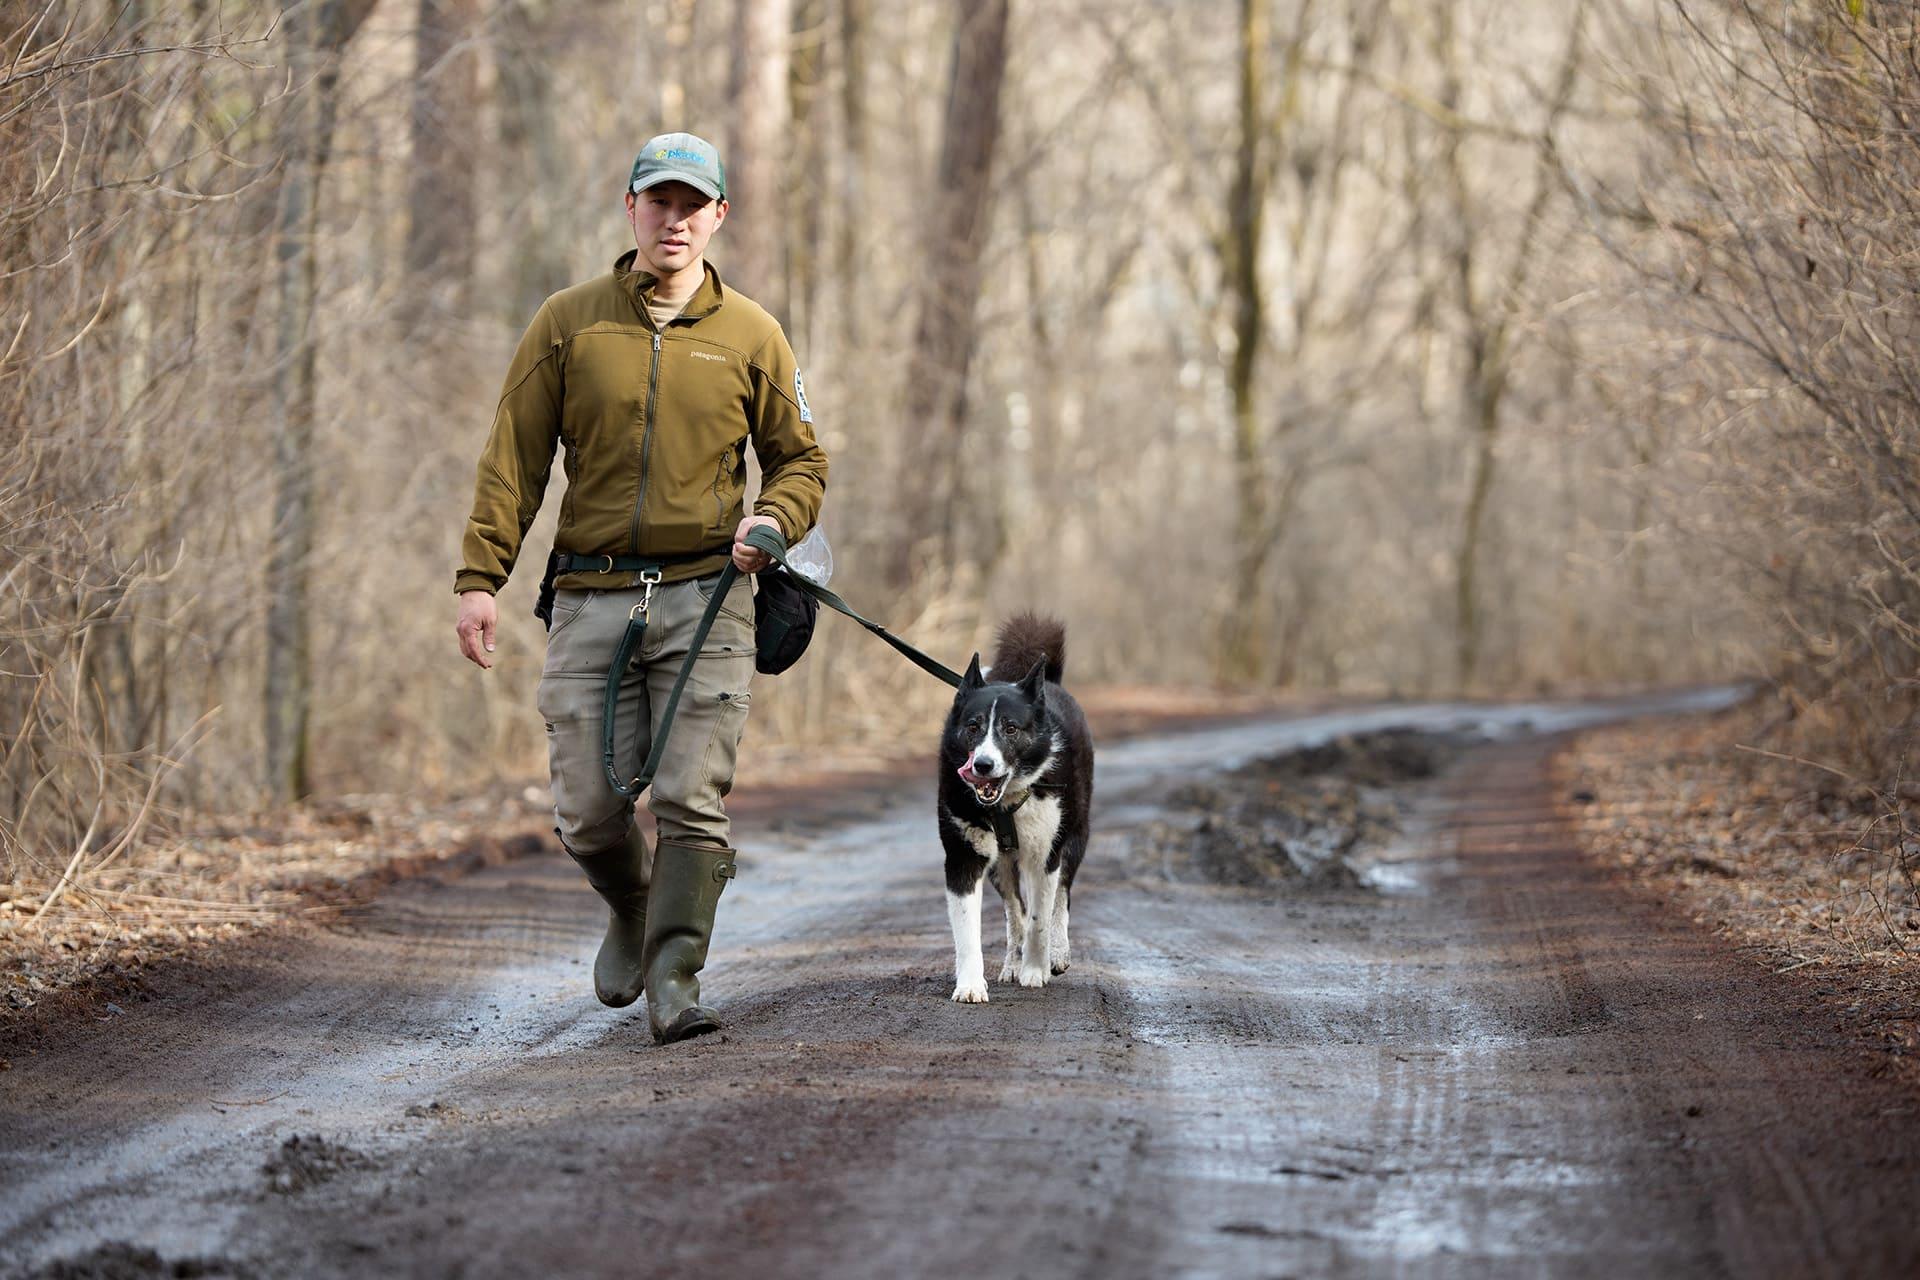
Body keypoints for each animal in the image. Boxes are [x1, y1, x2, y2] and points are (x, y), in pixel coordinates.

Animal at [937, 613, 1094, 1003]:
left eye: (1010, 729)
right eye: (973, 726)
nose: (982, 766)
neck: (1006, 802)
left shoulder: (1044, 856)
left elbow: (1040, 918)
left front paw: (1036, 970)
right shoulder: (963, 857)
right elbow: (969, 930)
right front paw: (970, 985)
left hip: (1075, 836)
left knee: (1061, 898)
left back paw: (1056, 953)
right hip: (1001, 865)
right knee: (1013, 910)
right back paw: (1011, 962)